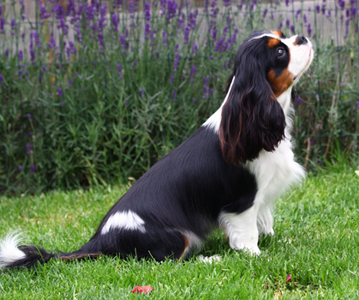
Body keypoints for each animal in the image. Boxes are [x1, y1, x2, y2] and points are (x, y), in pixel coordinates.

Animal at [0, 31, 314, 270]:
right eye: (280, 52)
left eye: (284, 37)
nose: (302, 36)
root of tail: (99, 238)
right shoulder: (242, 201)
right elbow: (247, 234)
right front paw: (256, 255)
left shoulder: (263, 195)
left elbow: (265, 220)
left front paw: (276, 241)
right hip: (177, 237)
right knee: (170, 262)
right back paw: (210, 259)